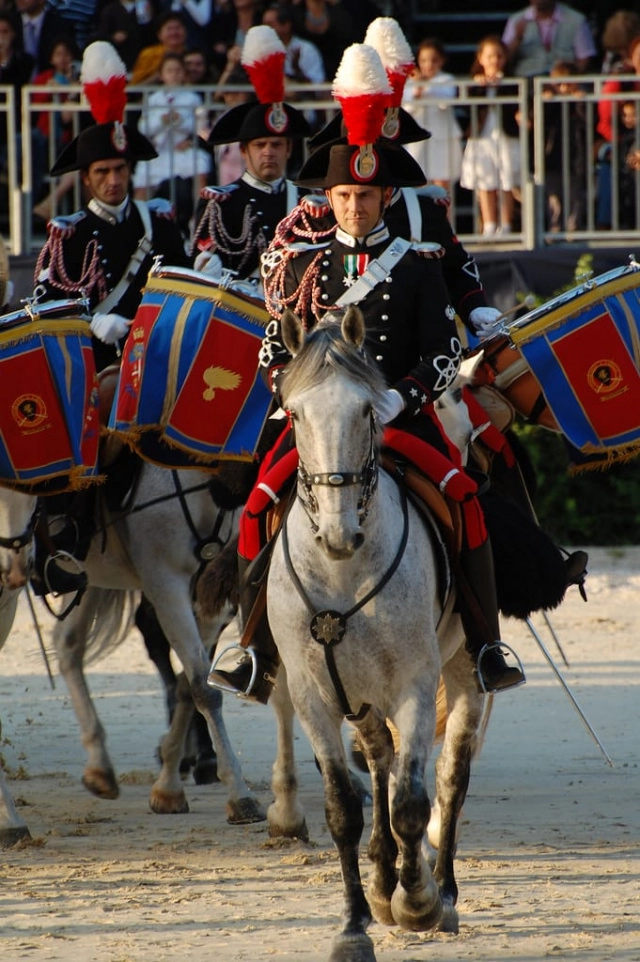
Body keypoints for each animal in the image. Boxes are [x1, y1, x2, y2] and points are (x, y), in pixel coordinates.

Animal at [262, 310, 482, 960]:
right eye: (295, 413)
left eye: (365, 411)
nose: (339, 534)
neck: (341, 571)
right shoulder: (313, 695)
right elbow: (344, 809)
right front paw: (355, 922)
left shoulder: (415, 685)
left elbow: (413, 803)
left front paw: (419, 901)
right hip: (355, 696)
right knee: (380, 757)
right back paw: (384, 880)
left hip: (464, 673)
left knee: (450, 778)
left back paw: (442, 891)